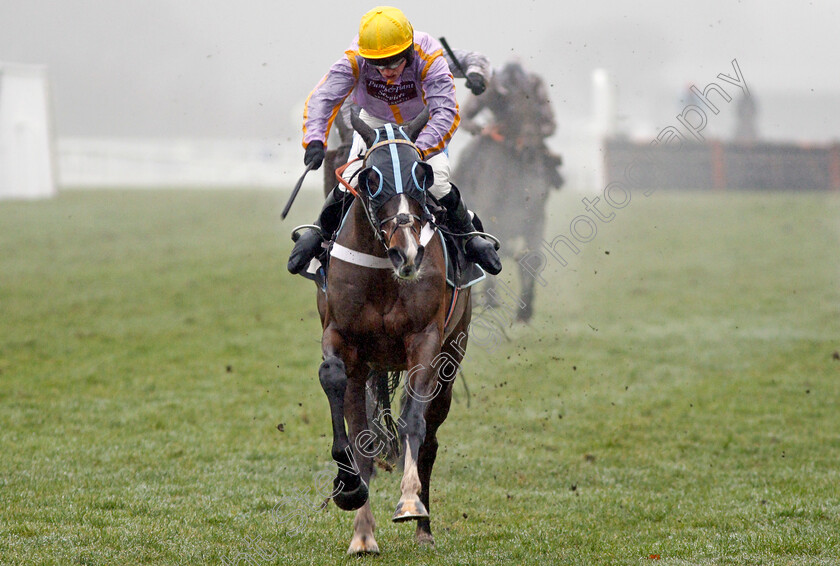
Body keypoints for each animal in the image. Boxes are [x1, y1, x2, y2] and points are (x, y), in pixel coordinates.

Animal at [316, 108, 472, 556]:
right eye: (371, 176)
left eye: (421, 173)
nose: (408, 252)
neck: (385, 270)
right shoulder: (342, 338)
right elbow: (339, 395)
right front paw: (350, 489)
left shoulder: (425, 340)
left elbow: (412, 421)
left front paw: (409, 502)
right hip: (367, 367)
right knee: (362, 431)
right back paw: (363, 533)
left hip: (454, 352)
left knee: (431, 438)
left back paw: (424, 527)